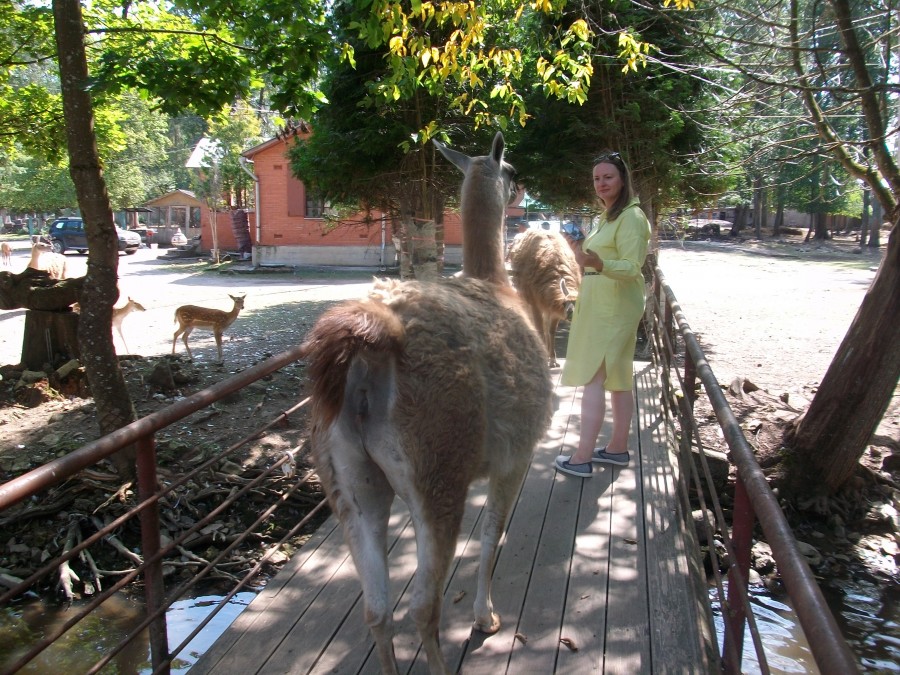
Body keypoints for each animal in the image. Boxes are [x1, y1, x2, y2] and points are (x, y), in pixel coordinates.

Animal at [298, 133, 552, 675]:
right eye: (512, 170)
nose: (523, 191)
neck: (496, 284)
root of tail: (375, 338)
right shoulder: (516, 456)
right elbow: (494, 536)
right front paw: (486, 617)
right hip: (437, 469)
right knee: (421, 605)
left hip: (349, 484)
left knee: (376, 608)